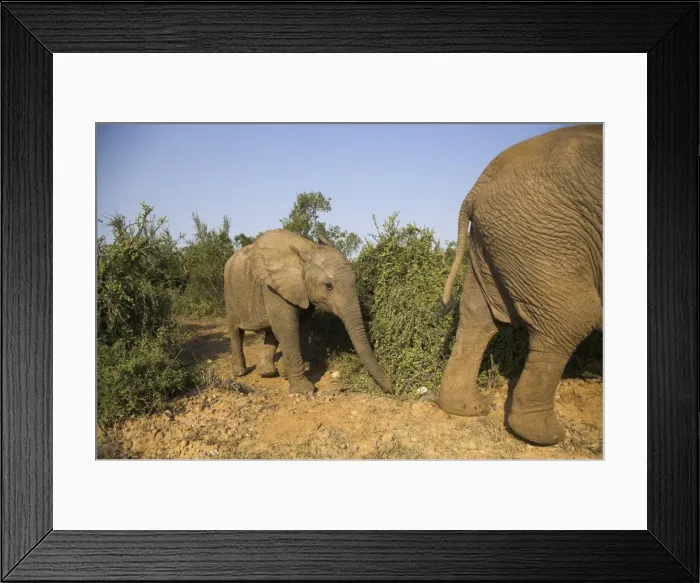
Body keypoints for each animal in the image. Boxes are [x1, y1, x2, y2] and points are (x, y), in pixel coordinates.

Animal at [223, 229, 394, 395]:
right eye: (328, 286)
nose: (391, 388)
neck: (307, 252)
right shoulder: (272, 287)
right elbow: (287, 327)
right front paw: (305, 390)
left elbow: (303, 326)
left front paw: (286, 373)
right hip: (229, 294)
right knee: (236, 331)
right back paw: (240, 373)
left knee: (271, 331)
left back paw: (267, 373)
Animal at [438, 123, 602, 445]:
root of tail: (476, 188)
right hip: (542, 231)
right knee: (574, 317)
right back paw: (545, 435)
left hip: (499, 237)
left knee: (478, 316)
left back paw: (465, 409)